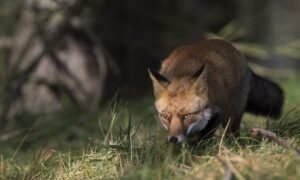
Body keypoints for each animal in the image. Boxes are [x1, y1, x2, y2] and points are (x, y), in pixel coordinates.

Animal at [149, 39, 284, 145]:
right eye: (166, 117)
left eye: (186, 116)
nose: (173, 139)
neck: (183, 71)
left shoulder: (219, 110)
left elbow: (205, 136)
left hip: (232, 115)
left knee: (233, 133)